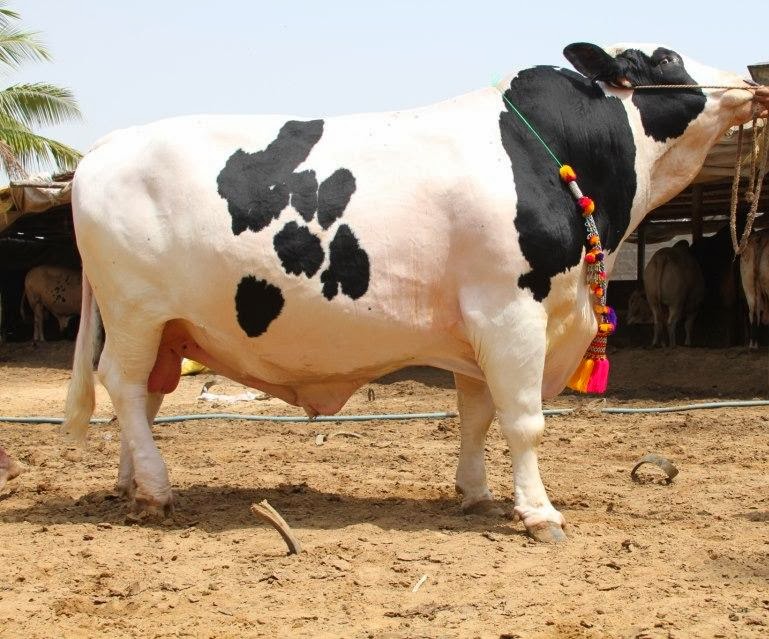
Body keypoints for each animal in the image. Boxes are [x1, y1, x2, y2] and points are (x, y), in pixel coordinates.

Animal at [62, 42, 768, 542]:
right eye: (667, 57)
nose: (749, 81)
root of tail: (108, 144)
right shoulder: (510, 312)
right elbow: (523, 419)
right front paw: (539, 513)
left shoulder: (482, 326)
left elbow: (477, 414)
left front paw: (476, 494)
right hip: (135, 311)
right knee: (122, 385)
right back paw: (155, 491)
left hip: (166, 328)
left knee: (144, 397)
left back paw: (129, 483)